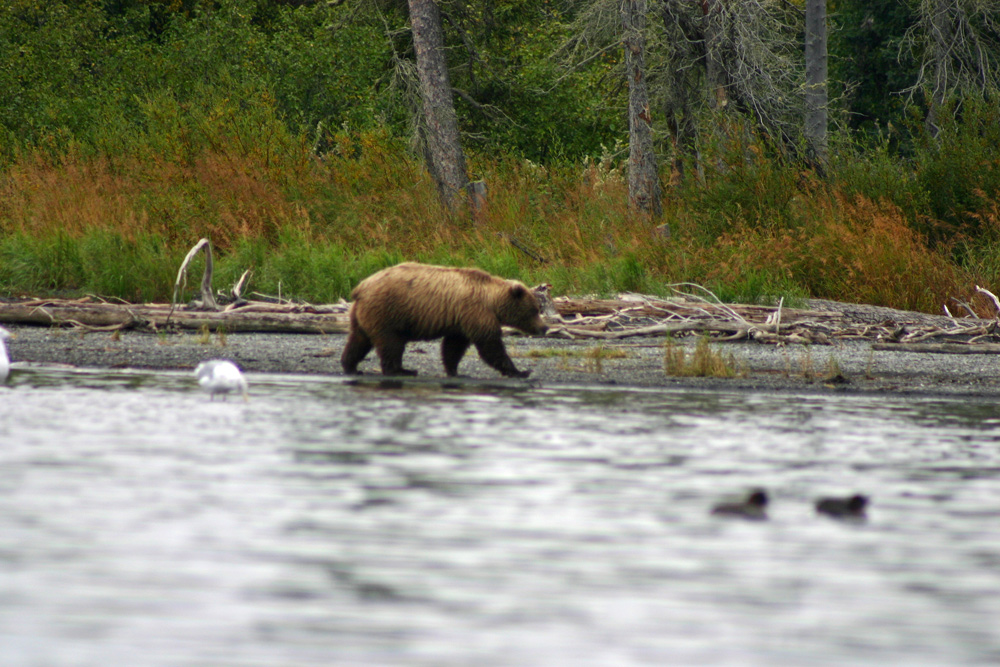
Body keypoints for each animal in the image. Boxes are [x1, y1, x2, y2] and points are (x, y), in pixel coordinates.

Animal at [342, 262, 548, 378]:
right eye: (535, 310)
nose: (544, 327)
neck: (492, 301)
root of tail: (360, 287)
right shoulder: (476, 312)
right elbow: (490, 345)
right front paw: (520, 371)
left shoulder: (461, 320)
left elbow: (453, 346)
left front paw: (454, 370)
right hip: (388, 311)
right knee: (391, 343)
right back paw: (402, 370)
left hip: (364, 314)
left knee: (358, 340)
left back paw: (351, 366)